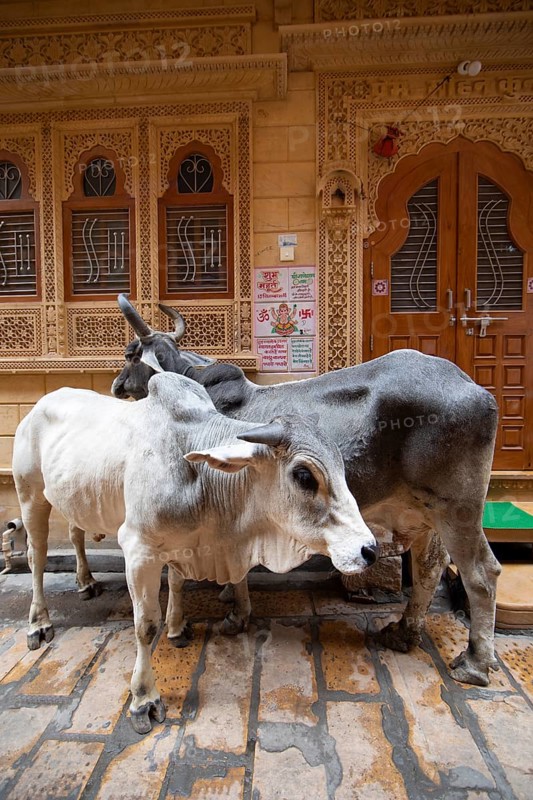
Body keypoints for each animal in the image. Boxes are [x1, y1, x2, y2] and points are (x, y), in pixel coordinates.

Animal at [12, 372, 378, 733]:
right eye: (303, 475)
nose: (369, 549)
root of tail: (40, 405)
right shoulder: (139, 549)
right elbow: (145, 625)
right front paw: (143, 698)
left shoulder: (182, 544)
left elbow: (176, 583)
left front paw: (176, 627)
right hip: (30, 496)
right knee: (36, 556)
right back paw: (38, 623)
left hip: (73, 498)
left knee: (75, 533)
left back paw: (86, 581)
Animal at [112, 295, 502, 689]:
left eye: (131, 354)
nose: (116, 386)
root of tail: (473, 387)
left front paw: (236, 616)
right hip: (426, 511)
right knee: (430, 566)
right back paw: (404, 633)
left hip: (458, 510)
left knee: (482, 574)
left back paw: (475, 661)